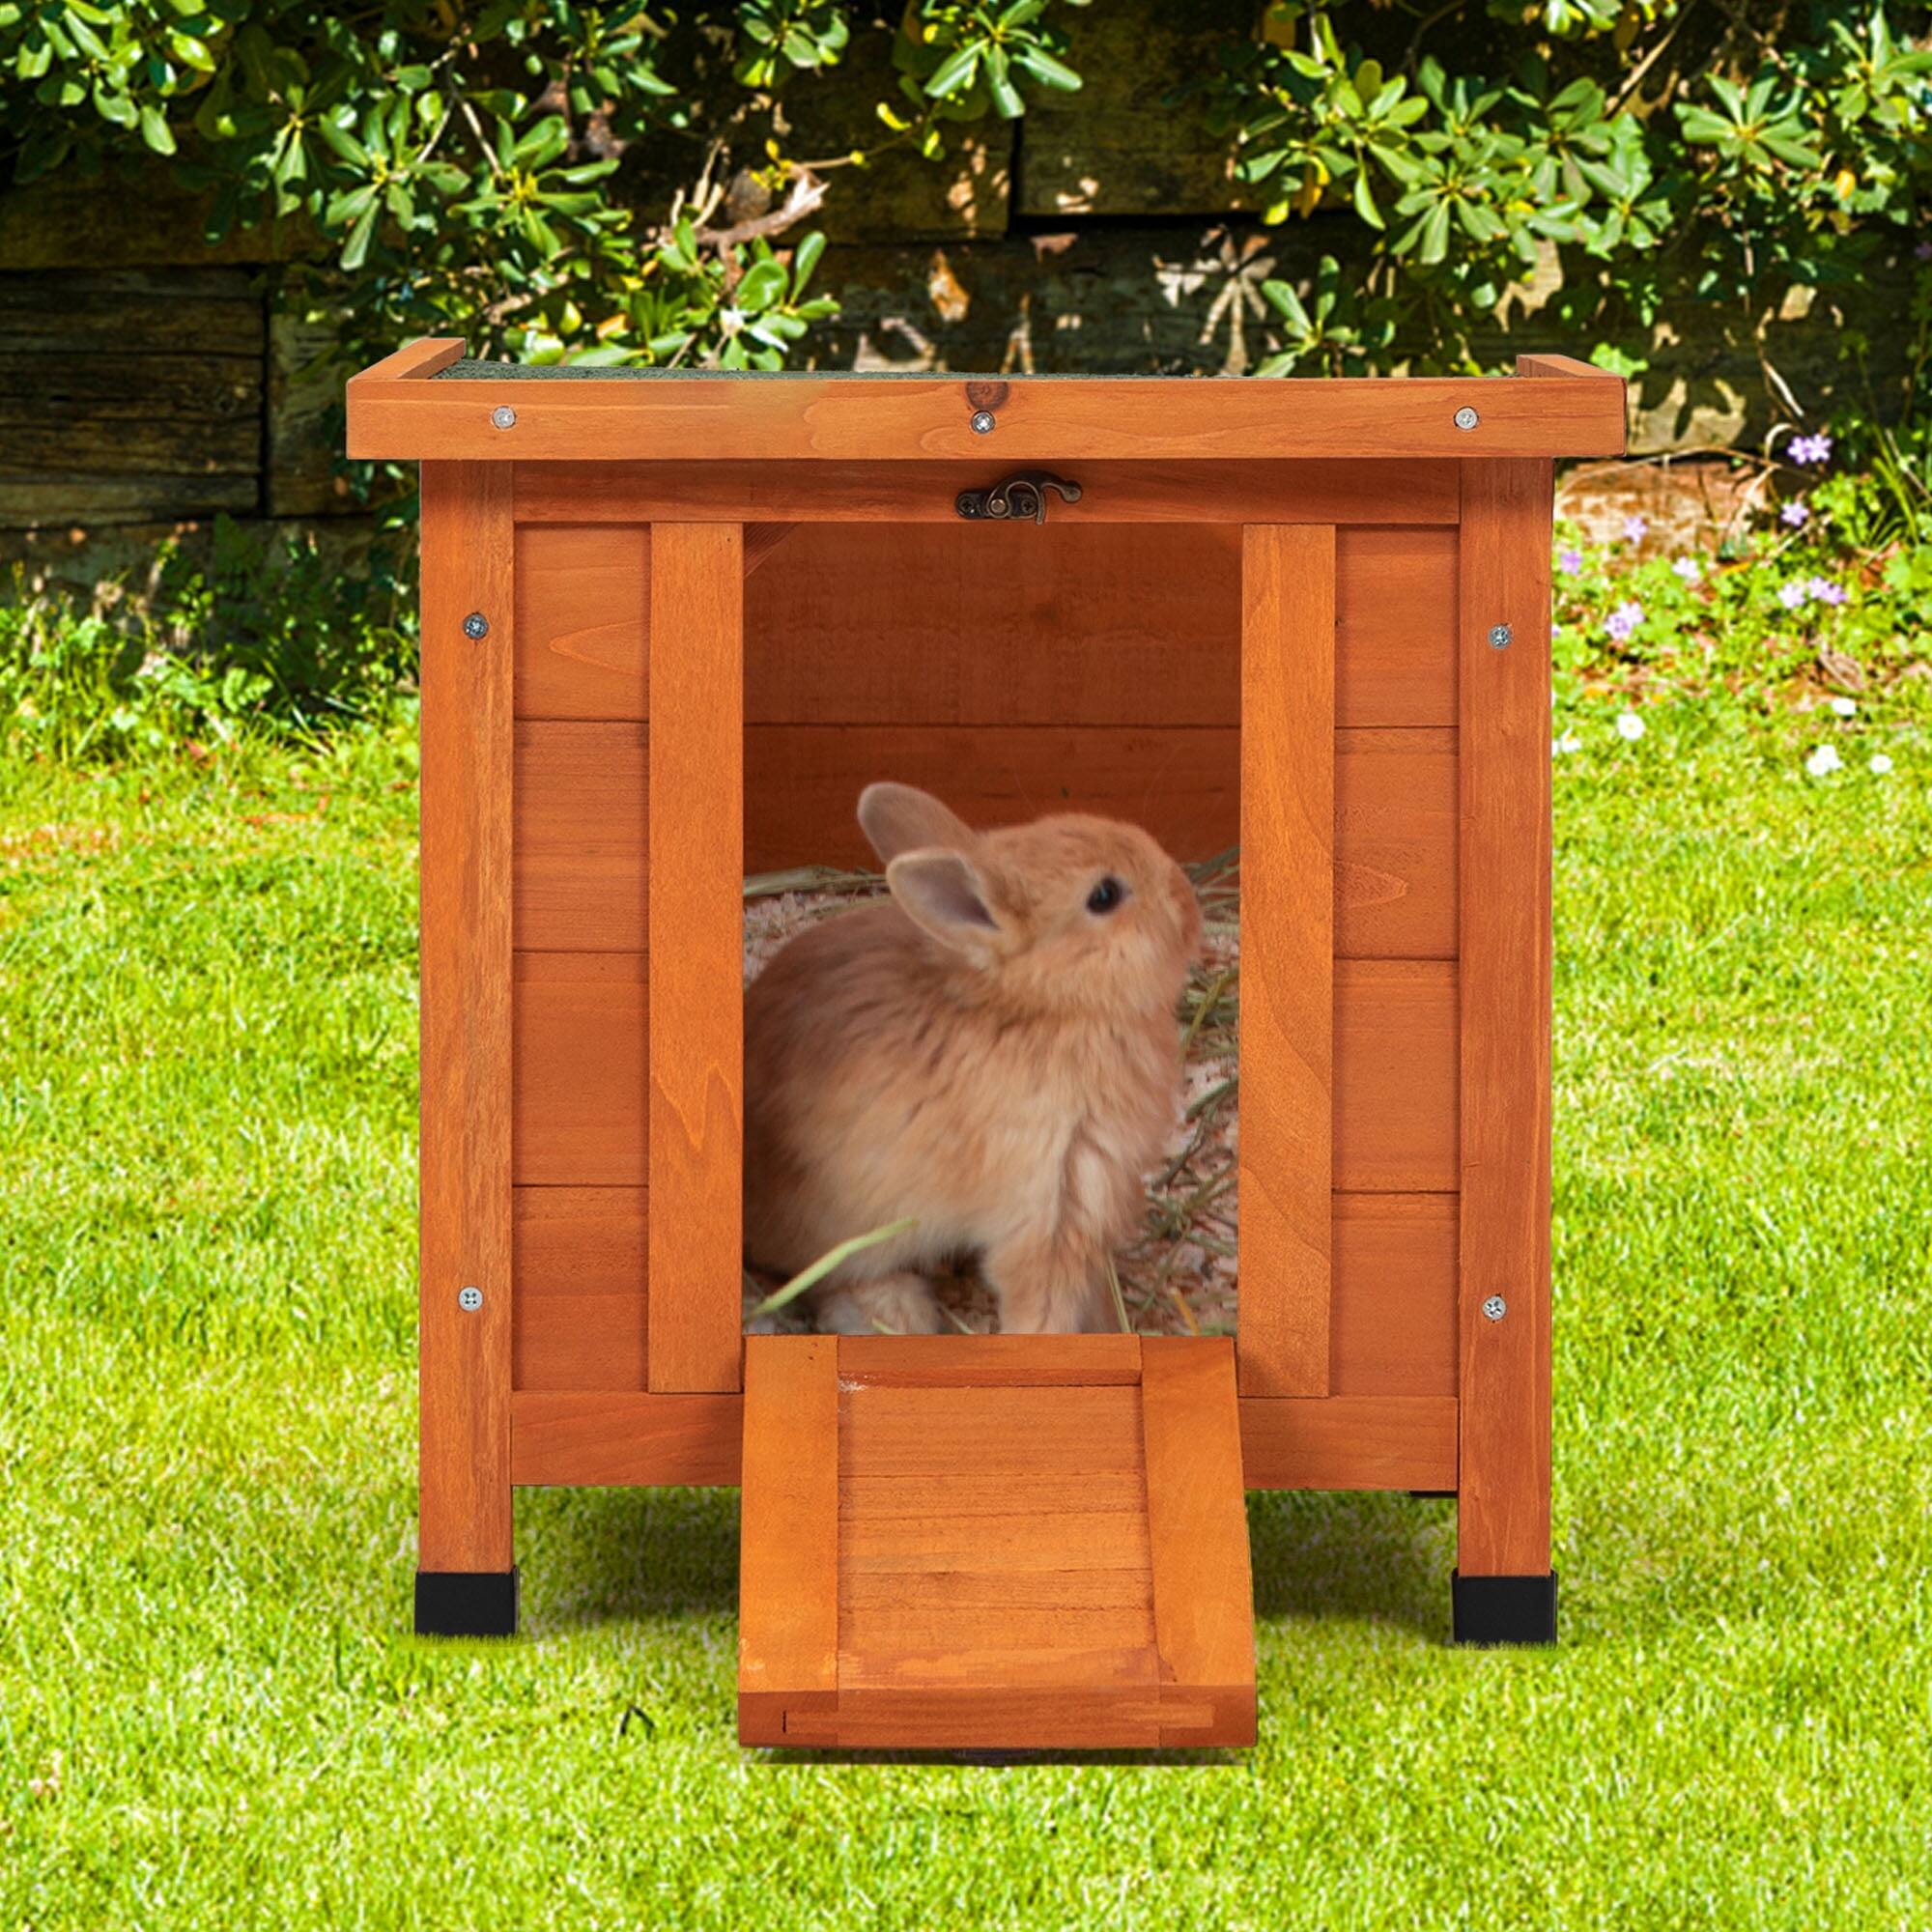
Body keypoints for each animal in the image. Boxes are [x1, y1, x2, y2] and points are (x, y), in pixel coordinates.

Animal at [743, 782, 1203, 1335]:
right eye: (1104, 896)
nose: (1188, 901)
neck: (1044, 1009)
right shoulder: (1049, 1205)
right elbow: (1042, 1305)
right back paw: (901, 1315)